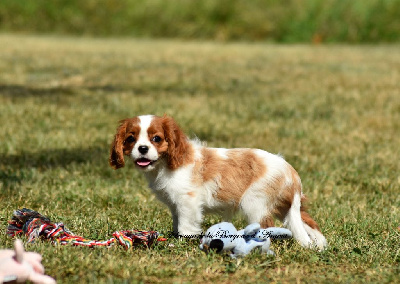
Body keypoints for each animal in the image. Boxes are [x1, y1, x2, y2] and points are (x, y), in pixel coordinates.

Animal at [108, 115, 324, 248]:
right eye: (131, 139)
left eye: (156, 138)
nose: (142, 148)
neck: (164, 165)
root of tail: (291, 172)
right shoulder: (175, 204)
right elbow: (177, 221)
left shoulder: (187, 201)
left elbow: (186, 225)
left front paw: (181, 242)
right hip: (283, 206)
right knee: (305, 222)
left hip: (255, 202)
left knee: (265, 226)